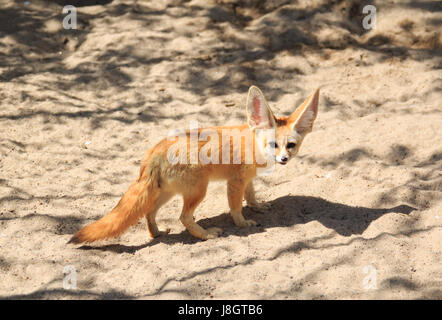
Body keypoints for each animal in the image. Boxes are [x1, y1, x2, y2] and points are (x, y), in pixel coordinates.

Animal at [68, 86, 318, 244]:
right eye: (273, 145)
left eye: (291, 145)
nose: (283, 159)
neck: (252, 142)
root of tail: (155, 151)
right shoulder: (235, 182)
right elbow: (235, 207)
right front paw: (243, 223)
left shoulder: (246, 180)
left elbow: (251, 195)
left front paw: (257, 206)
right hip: (198, 190)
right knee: (184, 217)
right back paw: (205, 235)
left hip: (167, 193)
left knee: (149, 212)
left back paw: (156, 233)